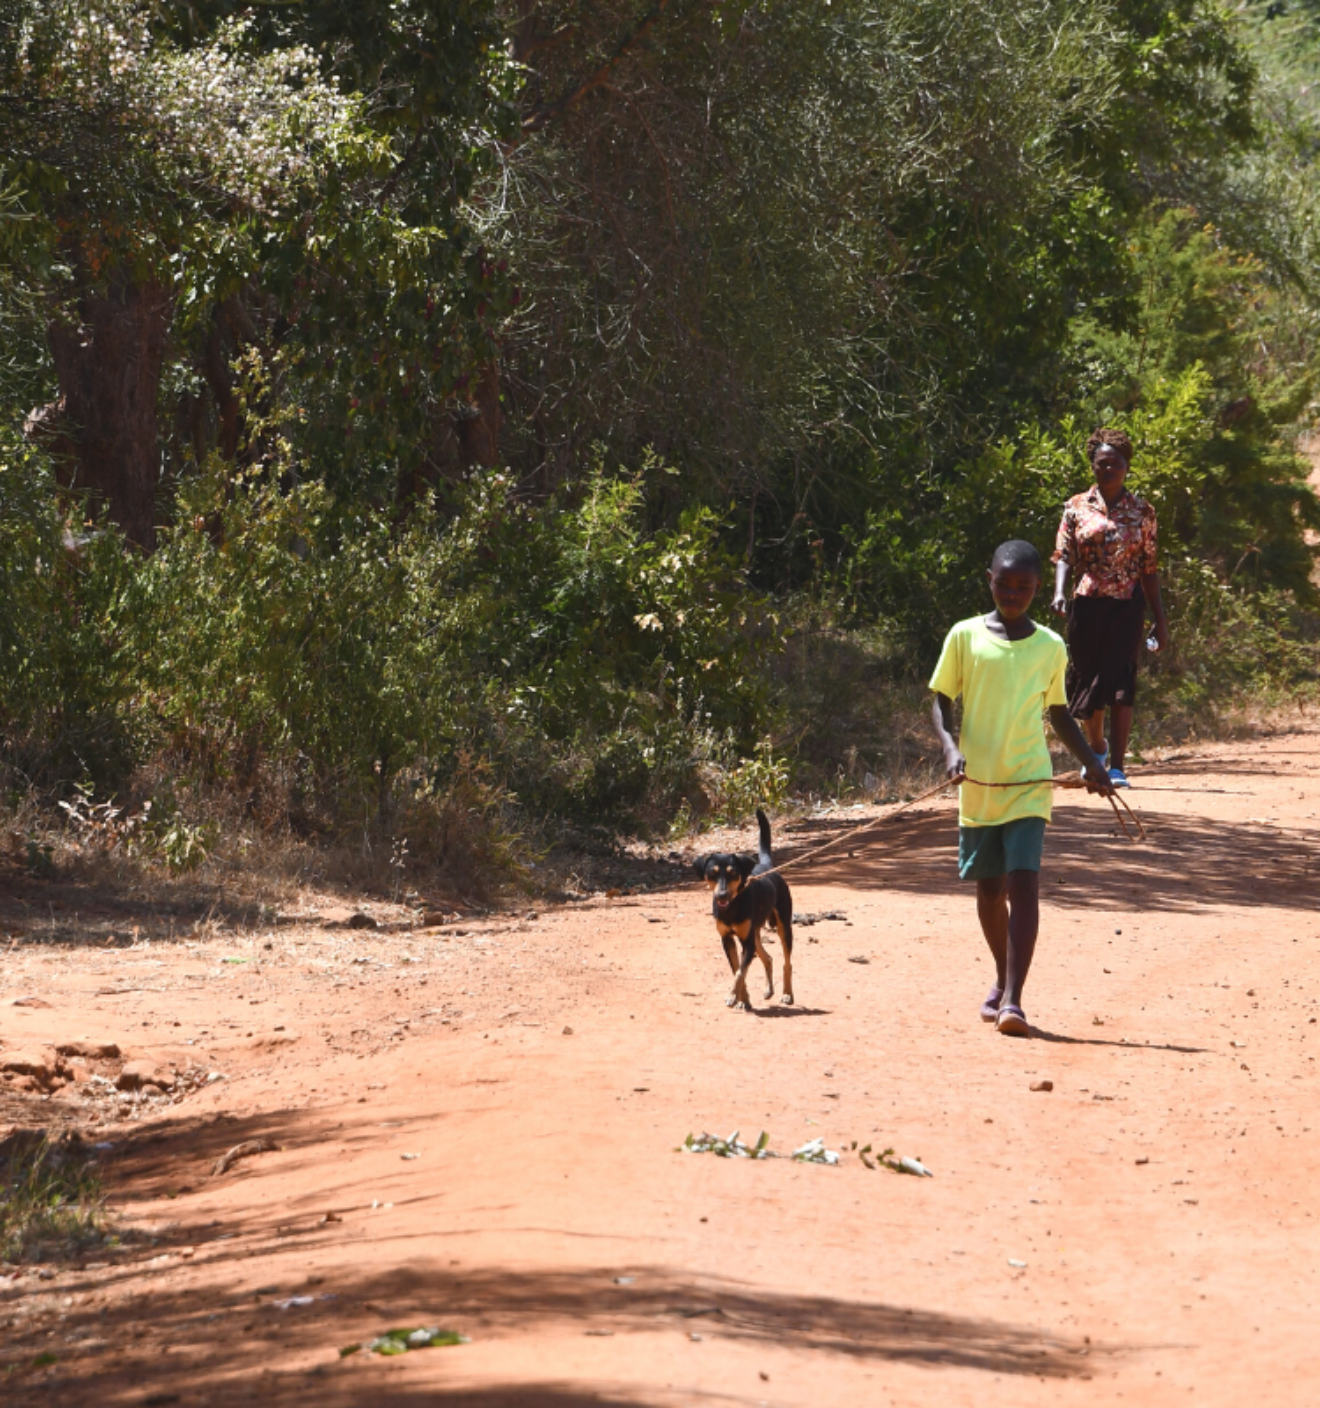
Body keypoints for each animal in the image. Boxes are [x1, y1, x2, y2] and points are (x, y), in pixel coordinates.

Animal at [689, 811, 793, 1008]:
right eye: (712, 873)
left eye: (733, 873)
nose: (721, 895)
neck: (732, 906)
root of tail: (767, 867)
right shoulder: (727, 940)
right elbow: (737, 969)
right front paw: (743, 999)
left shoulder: (747, 943)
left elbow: (739, 973)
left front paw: (732, 995)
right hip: (755, 933)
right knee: (767, 958)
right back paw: (769, 990)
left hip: (783, 926)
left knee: (787, 962)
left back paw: (787, 994)